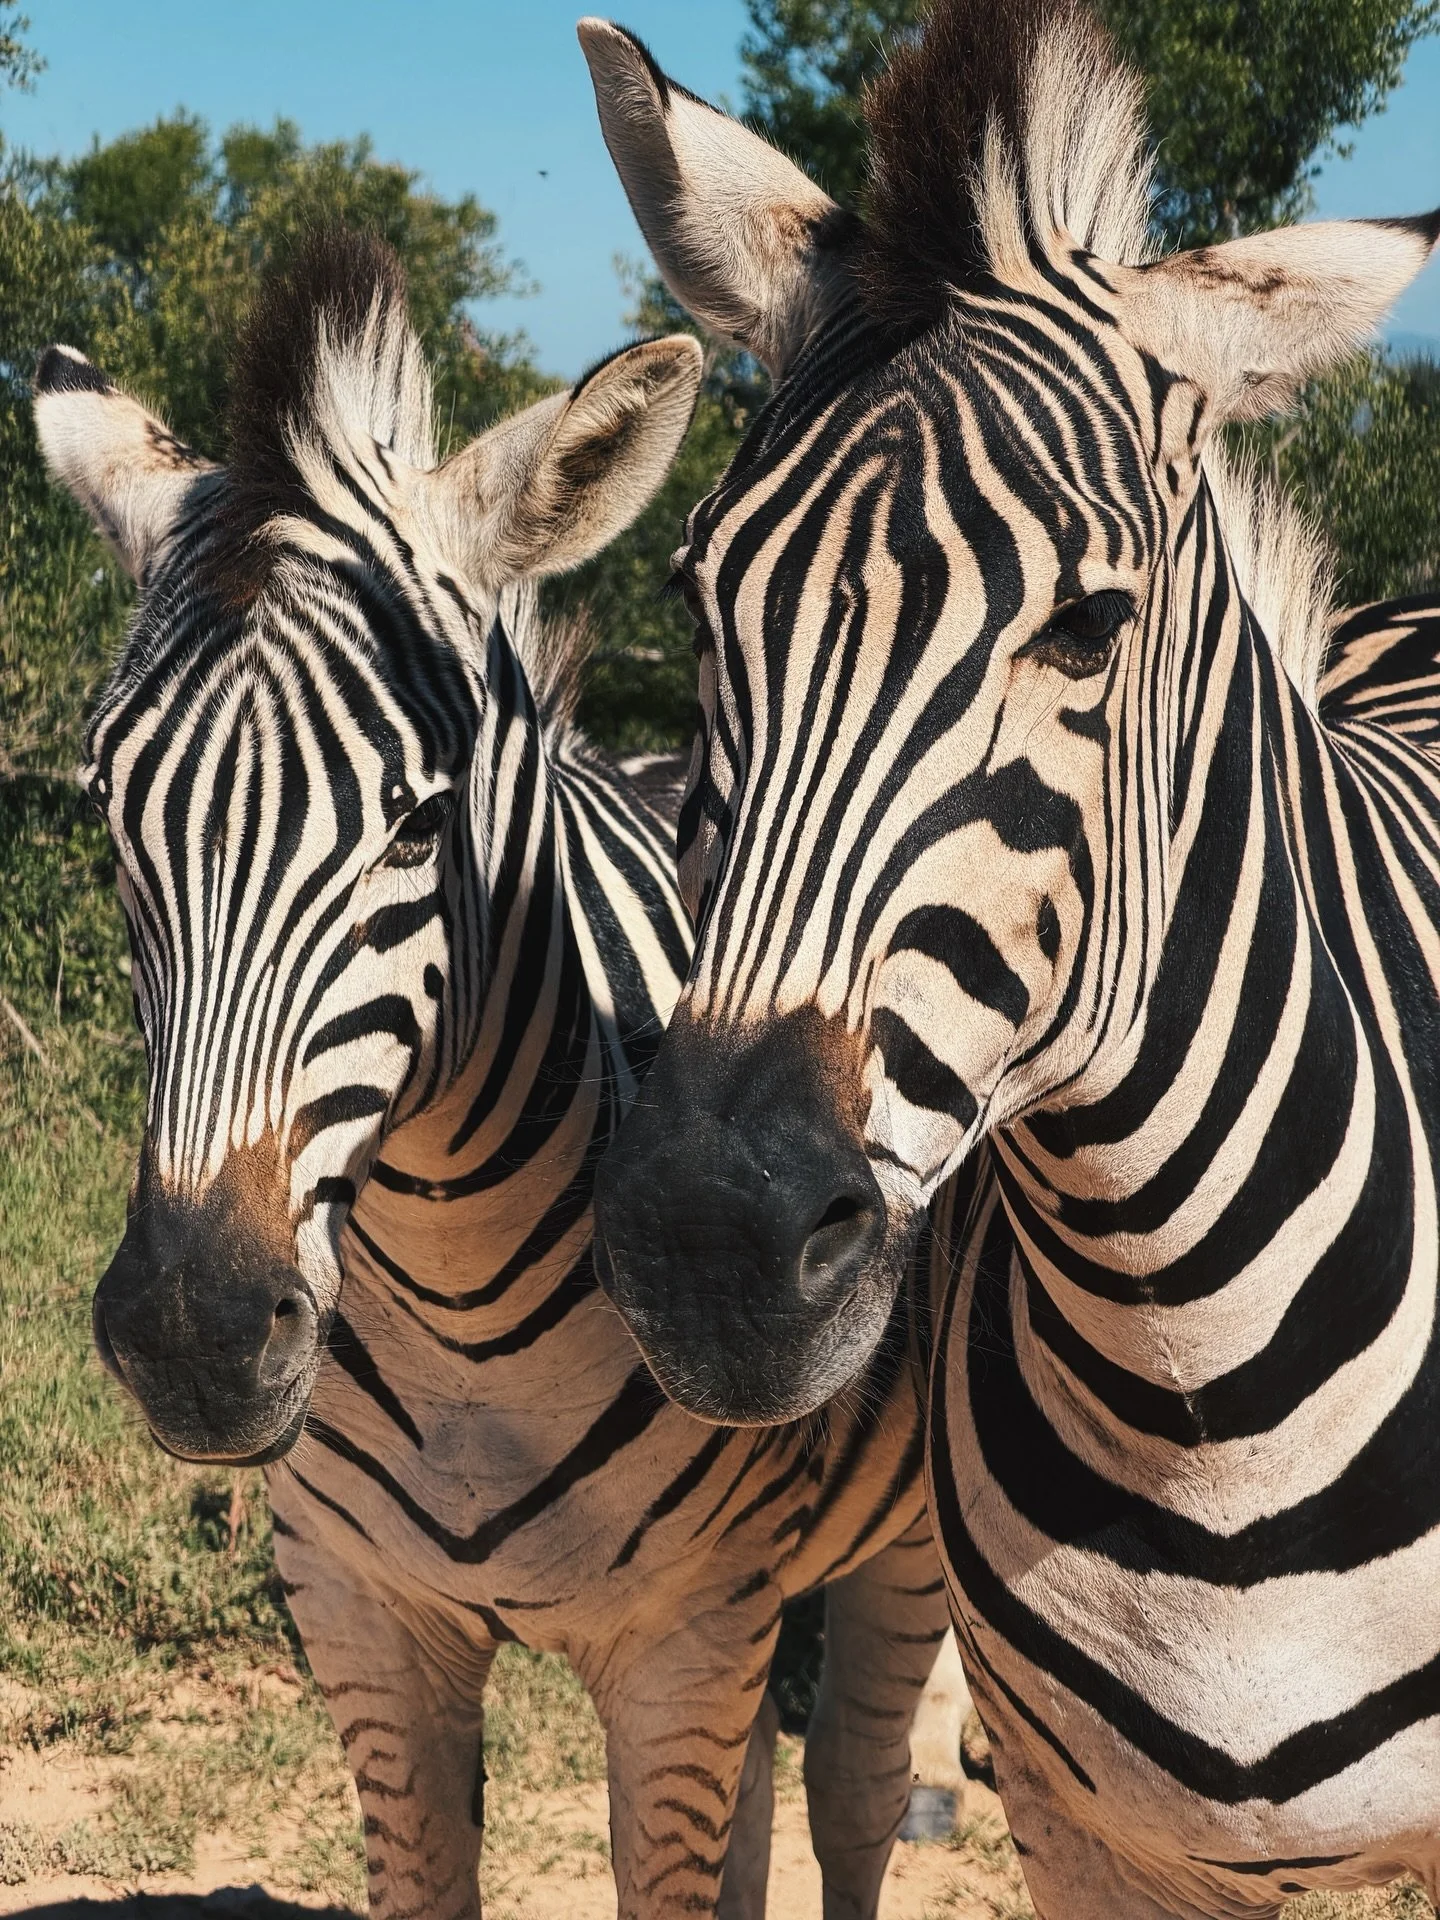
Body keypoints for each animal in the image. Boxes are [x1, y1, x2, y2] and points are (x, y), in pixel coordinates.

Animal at [34, 229, 961, 1920]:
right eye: (115, 817)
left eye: (418, 823)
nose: (196, 1338)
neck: (459, 1303)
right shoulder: (366, 1623)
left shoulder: (681, 1642)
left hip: (899, 1533)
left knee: (855, 1792)